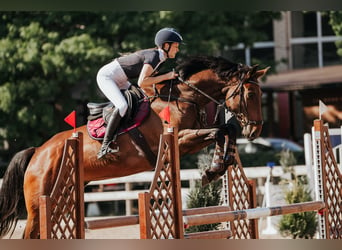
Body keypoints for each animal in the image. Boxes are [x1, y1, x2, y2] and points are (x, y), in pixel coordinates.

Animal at [0, 55, 268, 238]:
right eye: (251, 95)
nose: (255, 131)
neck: (184, 96)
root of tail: (37, 152)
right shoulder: (178, 140)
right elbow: (218, 131)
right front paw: (213, 169)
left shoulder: (190, 141)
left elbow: (224, 132)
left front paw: (218, 166)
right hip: (38, 205)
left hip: (62, 198)